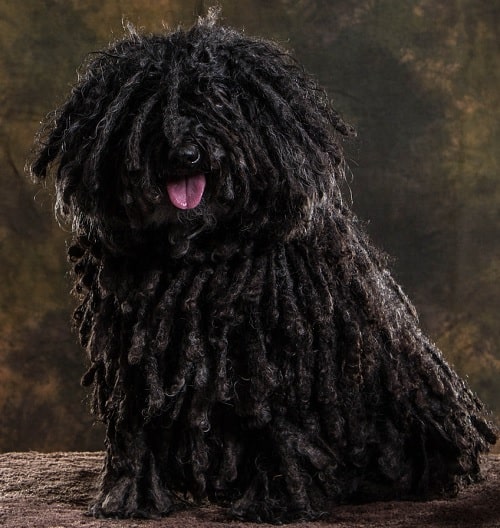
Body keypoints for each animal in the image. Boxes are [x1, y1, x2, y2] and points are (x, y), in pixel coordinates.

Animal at [31, 11, 496, 524]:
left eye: (218, 100)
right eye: (147, 106)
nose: (185, 153)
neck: (200, 253)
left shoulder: (276, 349)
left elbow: (277, 423)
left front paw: (276, 501)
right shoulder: (133, 346)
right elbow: (134, 422)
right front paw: (128, 495)